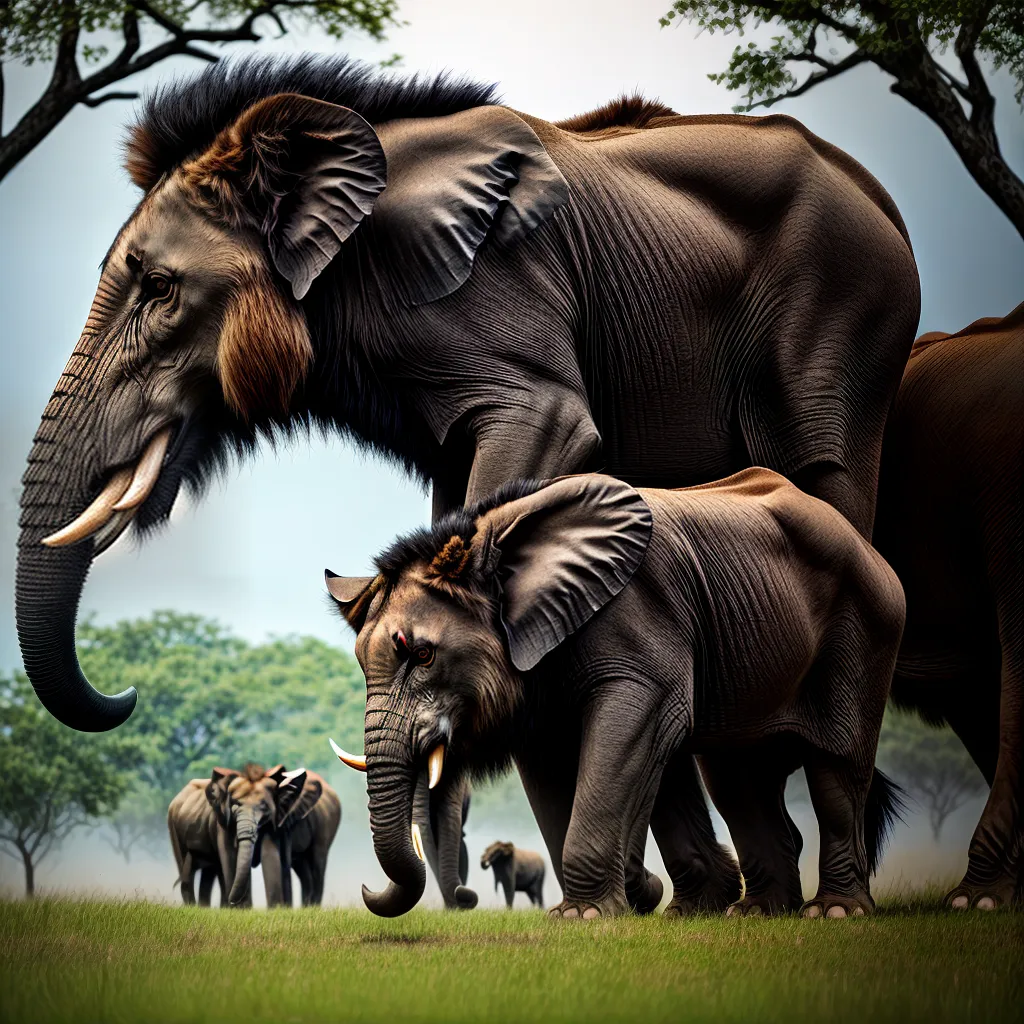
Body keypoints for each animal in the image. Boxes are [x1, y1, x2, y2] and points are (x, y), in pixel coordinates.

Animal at [258, 769, 341, 907]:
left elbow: (285, 862)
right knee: (303, 870)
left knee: (318, 863)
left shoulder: (287, 821)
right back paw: (306, 907)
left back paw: (313, 907)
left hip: (326, 822)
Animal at [327, 469, 905, 918]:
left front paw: (583, 915)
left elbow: (637, 720)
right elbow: (556, 760)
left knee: (835, 765)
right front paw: (642, 899)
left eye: (422, 654)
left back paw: (833, 911)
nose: (366, 889)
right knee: (736, 780)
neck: (490, 540)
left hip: (868, 628)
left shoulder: (638, 614)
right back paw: (748, 911)